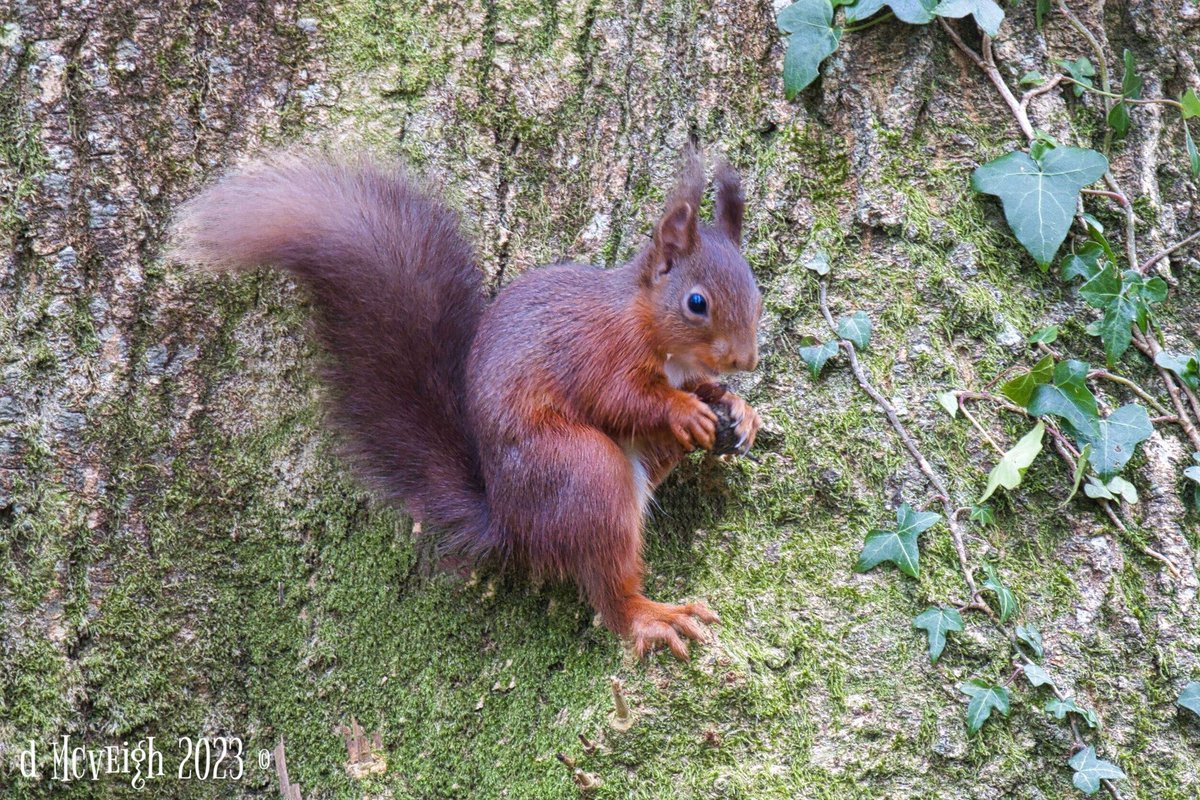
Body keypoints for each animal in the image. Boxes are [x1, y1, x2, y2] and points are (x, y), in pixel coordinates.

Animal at [171, 148, 763, 660]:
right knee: (607, 583)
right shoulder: (598, 352)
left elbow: (702, 389)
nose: (747, 358)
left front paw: (740, 409)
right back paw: (649, 616)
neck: (645, 322)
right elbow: (622, 399)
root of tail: (510, 523)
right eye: (696, 302)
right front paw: (685, 410)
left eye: (757, 292)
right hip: (579, 471)